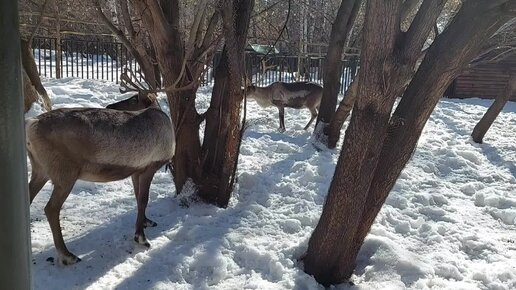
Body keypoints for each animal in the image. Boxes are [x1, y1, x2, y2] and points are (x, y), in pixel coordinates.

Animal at [26, 86, 175, 266]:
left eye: (133, 99)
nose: (110, 106)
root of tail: (31, 124)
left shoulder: (136, 171)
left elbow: (138, 197)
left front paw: (146, 221)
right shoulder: (149, 167)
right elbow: (143, 199)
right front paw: (141, 238)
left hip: (40, 170)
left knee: (29, 197)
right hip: (65, 174)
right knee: (51, 209)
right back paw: (68, 255)